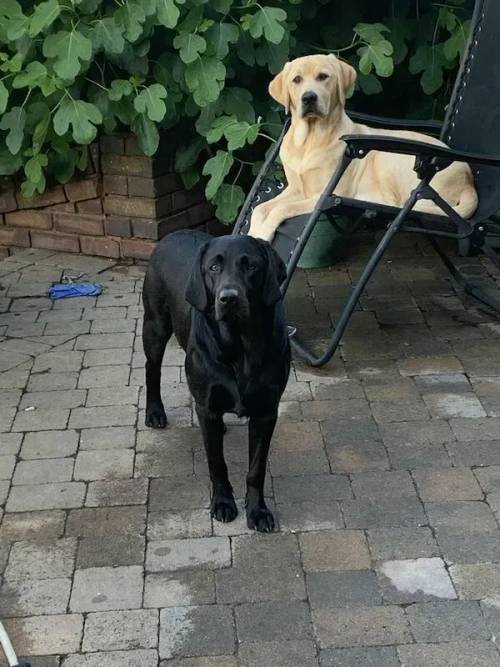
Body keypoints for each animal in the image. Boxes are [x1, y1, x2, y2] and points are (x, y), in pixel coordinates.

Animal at [142, 230, 290, 532]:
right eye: (213, 267)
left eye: (251, 266)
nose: (229, 298)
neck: (240, 348)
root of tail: (172, 234)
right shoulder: (207, 406)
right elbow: (217, 463)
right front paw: (223, 503)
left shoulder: (267, 411)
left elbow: (256, 468)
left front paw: (258, 511)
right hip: (155, 326)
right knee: (152, 369)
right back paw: (155, 412)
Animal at [249, 54, 476, 243]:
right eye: (296, 80)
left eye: (323, 76)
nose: (309, 97)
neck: (309, 140)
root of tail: (469, 180)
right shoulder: (296, 189)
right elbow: (259, 208)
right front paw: (253, 234)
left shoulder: (322, 194)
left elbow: (280, 209)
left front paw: (264, 234)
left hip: (387, 159)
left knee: (394, 202)